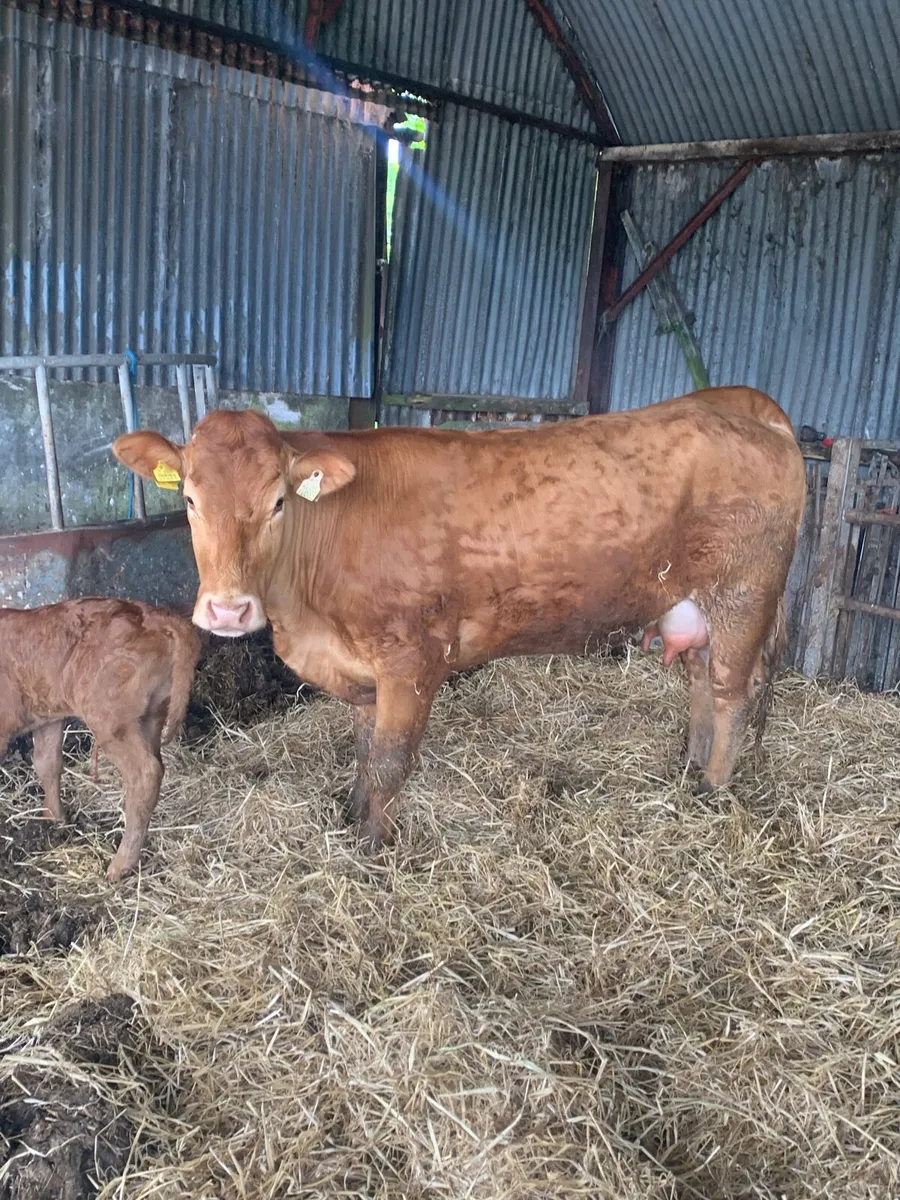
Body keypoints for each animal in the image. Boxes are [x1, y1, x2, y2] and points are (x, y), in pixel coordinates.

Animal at [0, 598, 200, 880]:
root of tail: (154, 615)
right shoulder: (47, 716)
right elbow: (47, 763)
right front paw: (54, 819)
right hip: (152, 713)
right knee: (155, 766)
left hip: (109, 719)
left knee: (145, 774)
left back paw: (120, 866)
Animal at [112, 386, 807, 850]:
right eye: (189, 499)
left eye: (279, 501)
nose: (228, 609)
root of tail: (738, 405)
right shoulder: (363, 670)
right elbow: (364, 750)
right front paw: (353, 816)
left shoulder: (412, 661)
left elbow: (391, 760)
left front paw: (373, 847)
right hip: (692, 609)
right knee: (701, 682)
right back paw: (689, 775)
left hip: (742, 596)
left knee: (731, 694)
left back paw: (714, 794)